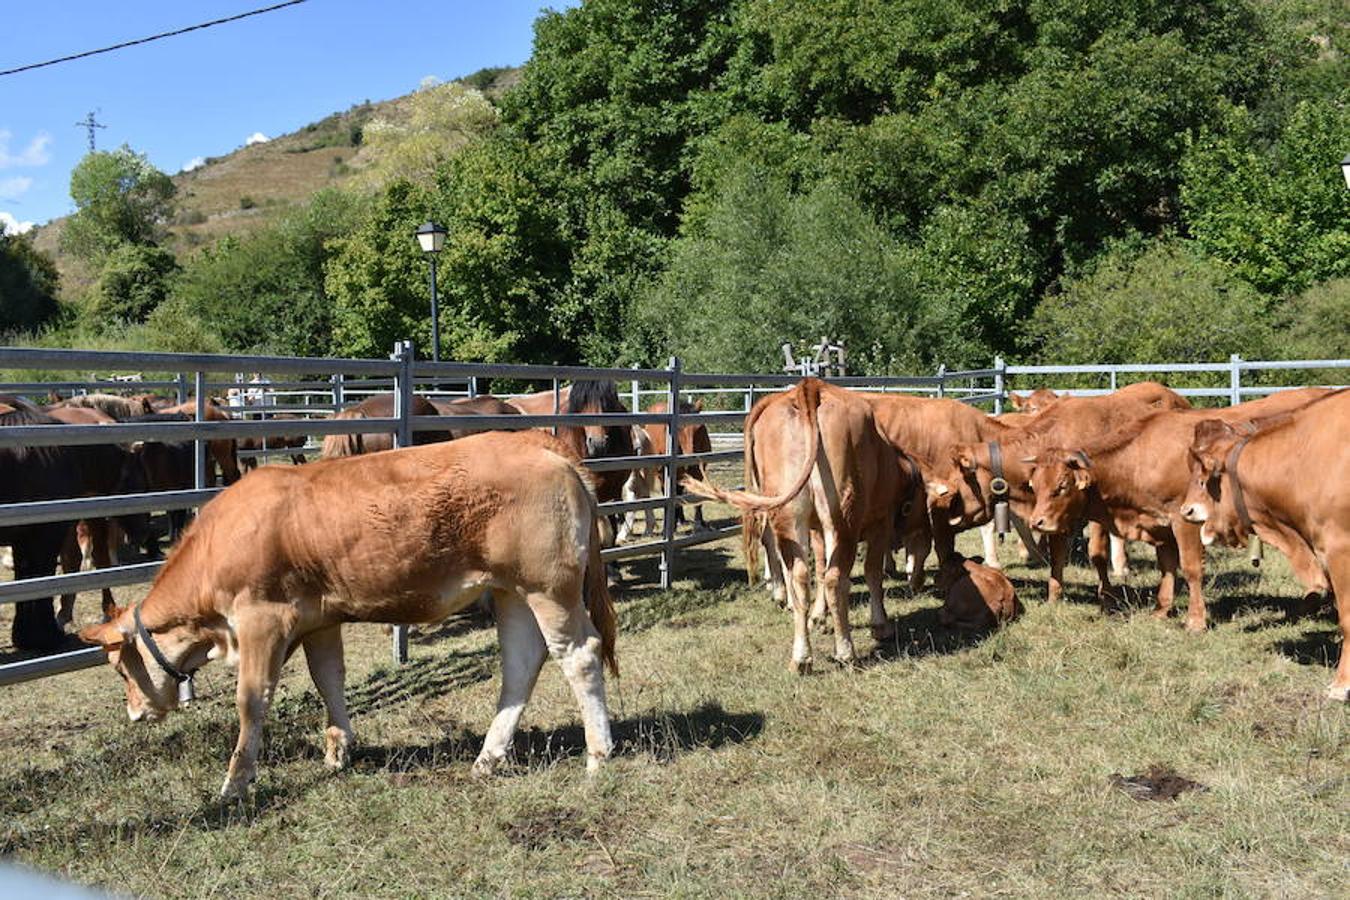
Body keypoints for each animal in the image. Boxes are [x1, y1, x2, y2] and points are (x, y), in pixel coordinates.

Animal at [78, 431, 618, 798]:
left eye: (118, 667)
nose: (134, 713)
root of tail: (539, 443)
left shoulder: (262, 621)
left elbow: (252, 700)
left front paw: (235, 783)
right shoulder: (319, 619)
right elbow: (328, 678)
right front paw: (338, 750)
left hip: (549, 587)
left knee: (579, 655)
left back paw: (598, 755)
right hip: (511, 591)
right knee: (521, 663)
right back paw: (488, 758)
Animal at [685, 377, 918, 669]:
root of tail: (809, 387)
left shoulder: (815, 528)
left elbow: (819, 566)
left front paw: (819, 617)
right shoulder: (880, 521)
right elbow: (871, 572)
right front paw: (880, 624)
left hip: (788, 513)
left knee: (797, 573)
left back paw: (801, 654)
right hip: (842, 516)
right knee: (834, 578)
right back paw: (845, 650)